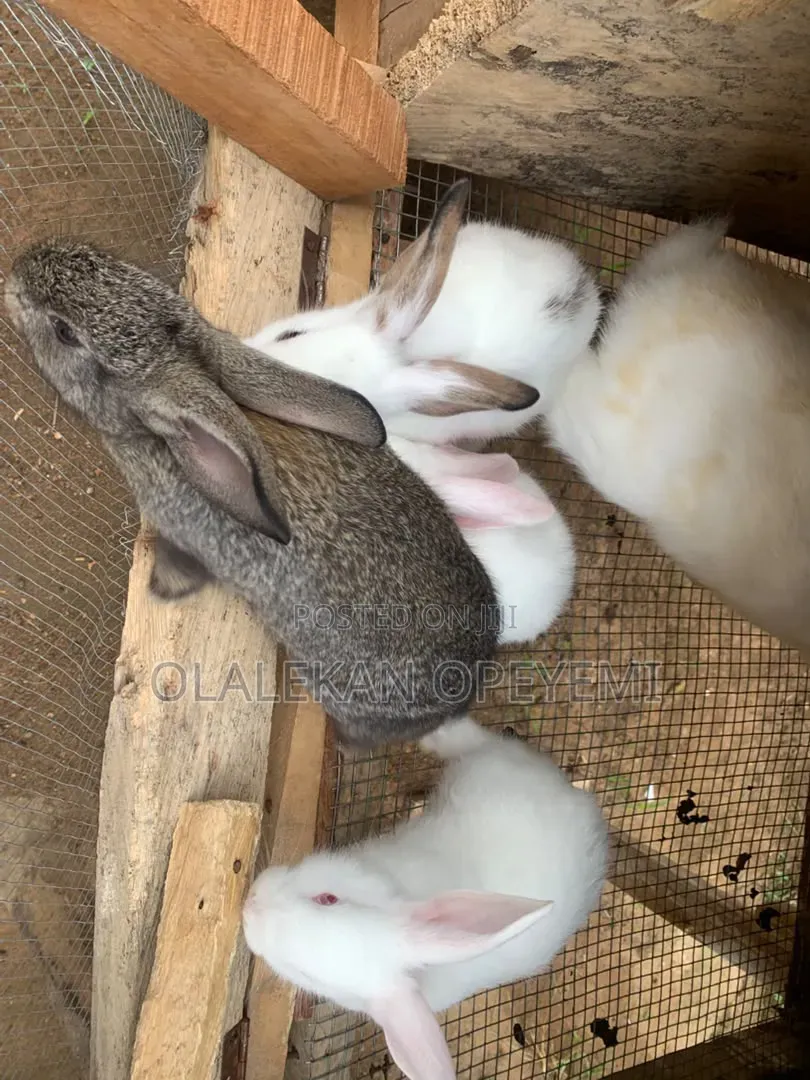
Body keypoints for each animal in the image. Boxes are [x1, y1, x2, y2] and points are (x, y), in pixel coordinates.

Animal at [5, 239, 507, 749]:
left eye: (64, 332)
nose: (17, 271)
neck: (156, 440)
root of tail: (461, 693)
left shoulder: (185, 535)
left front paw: (161, 588)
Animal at [242, 714, 609, 1080]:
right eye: (306, 975)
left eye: (328, 898)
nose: (250, 906)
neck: (394, 881)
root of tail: (586, 808)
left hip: (499, 765)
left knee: (479, 741)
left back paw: (438, 735)